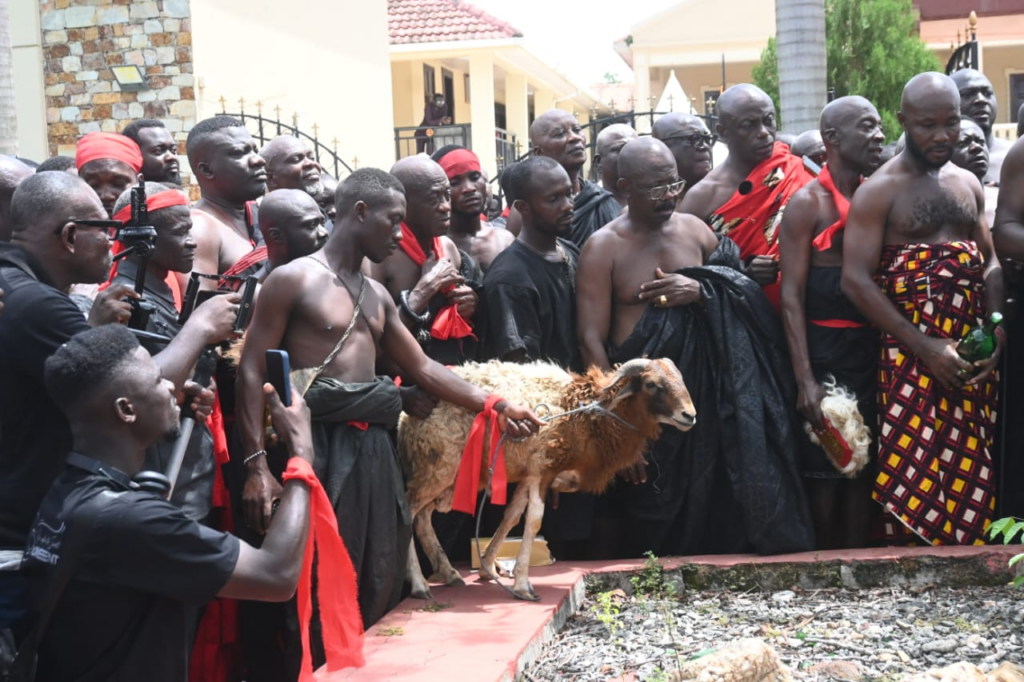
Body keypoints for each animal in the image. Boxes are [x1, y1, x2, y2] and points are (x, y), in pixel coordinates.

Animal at [398, 357, 696, 601]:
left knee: (422, 518)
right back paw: (420, 585)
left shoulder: (531, 473)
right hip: (439, 467)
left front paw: (488, 566)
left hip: (448, 477)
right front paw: (522, 585)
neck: (586, 414)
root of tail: (404, 420)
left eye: (680, 379)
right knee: (409, 512)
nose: (690, 415)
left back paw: (449, 574)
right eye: (651, 384)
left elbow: (512, 516)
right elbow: (534, 520)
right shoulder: (544, 467)